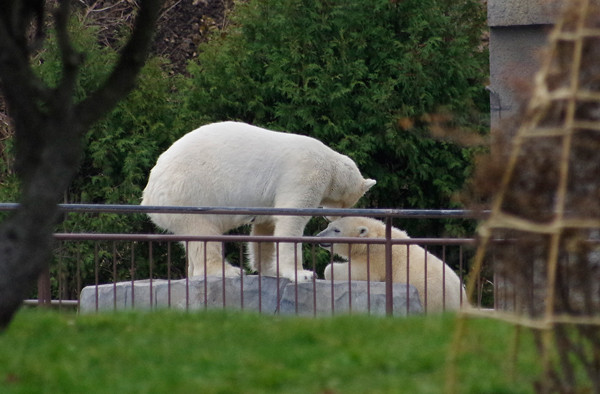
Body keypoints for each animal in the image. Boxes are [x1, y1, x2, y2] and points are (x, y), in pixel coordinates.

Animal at [141, 121, 376, 282]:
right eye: (346, 203)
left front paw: (270, 269)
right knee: (203, 232)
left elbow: (266, 226)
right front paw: (303, 274)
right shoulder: (304, 173)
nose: (331, 217)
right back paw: (228, 271)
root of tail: (149, 193)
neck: (330, 162)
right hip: (189, 193)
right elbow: (291, 218)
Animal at [316, 217, 466, 312]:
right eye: (328, 226)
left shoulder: (377, 257)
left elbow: (361, 272)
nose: (318, 236)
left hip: (430, 296)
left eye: (336, 230)